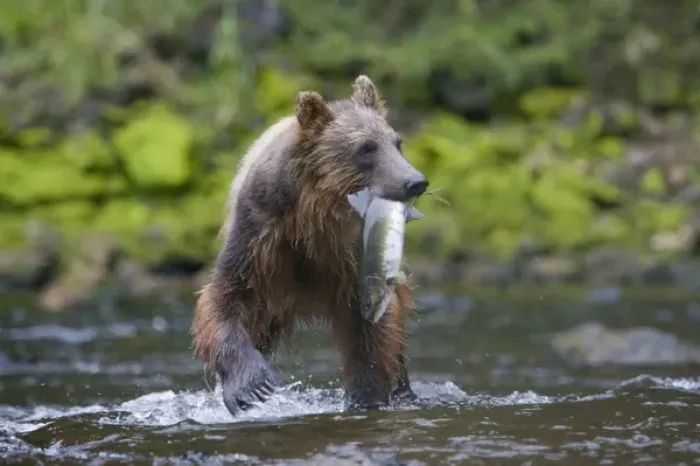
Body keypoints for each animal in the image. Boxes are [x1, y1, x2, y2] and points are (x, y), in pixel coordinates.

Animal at [191, 75, 429, 416]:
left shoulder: (351, 259)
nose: (415, 181)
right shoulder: (258, 236)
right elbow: (223, 300)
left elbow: (372, 335)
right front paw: (251, 386)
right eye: (366, 148)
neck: (313, 219)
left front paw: (366, 395)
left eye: (397, 142)